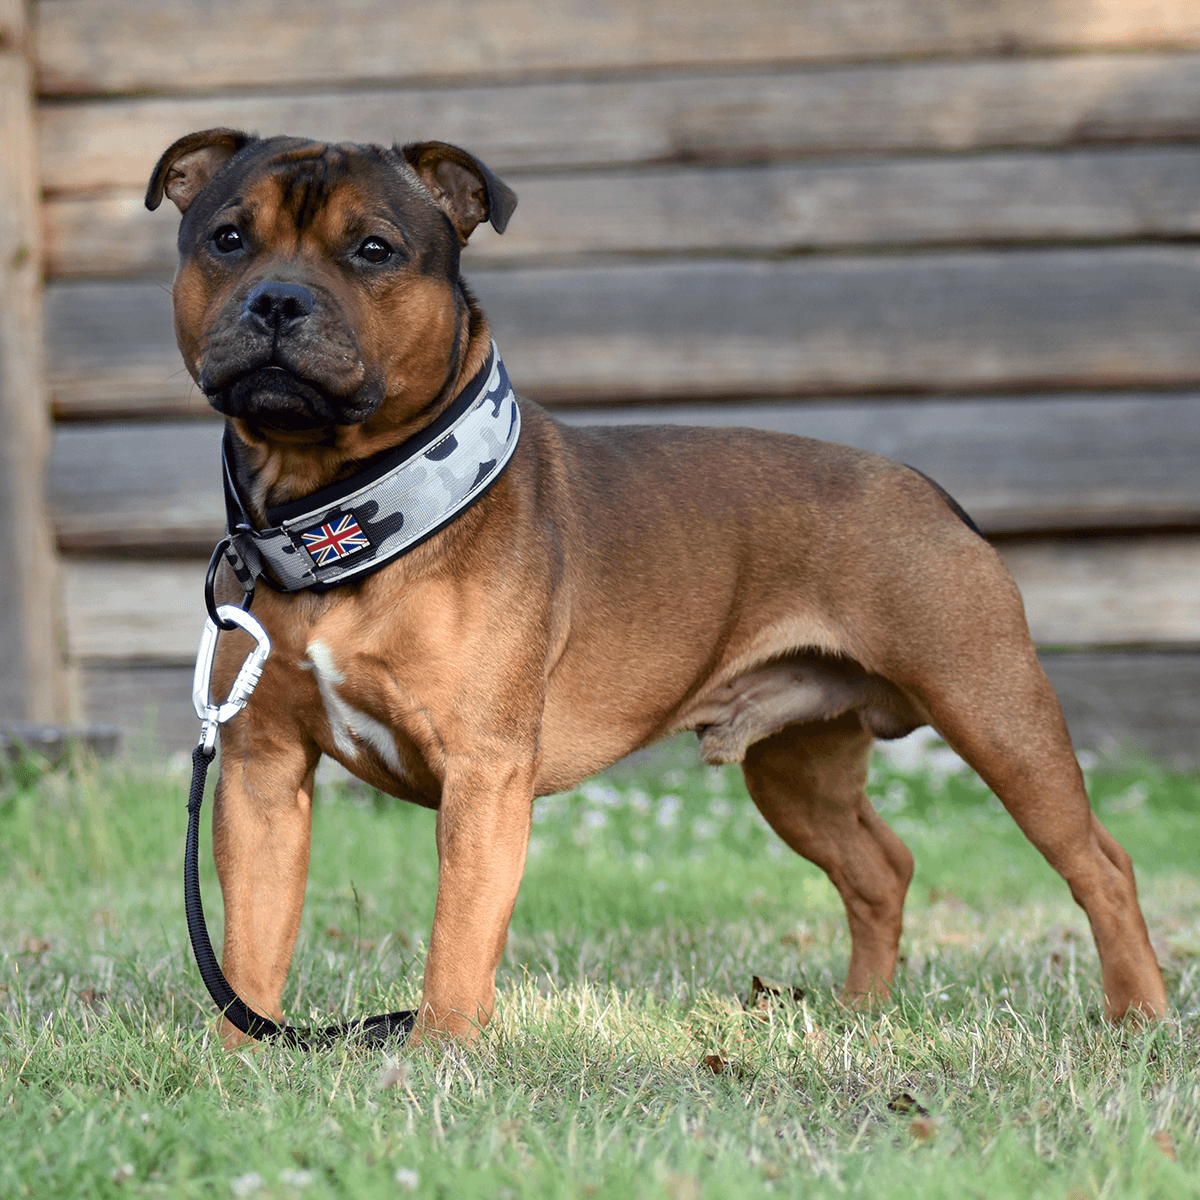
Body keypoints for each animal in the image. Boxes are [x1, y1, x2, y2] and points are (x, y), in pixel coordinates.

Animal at [145, 131, 1166, 1046]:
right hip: (797, 770)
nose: (278, 298)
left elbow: (456, 944)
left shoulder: (484, 775)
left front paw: (437, 1058)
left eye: (374, 250)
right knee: (881, 867)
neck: (342, 518)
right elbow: (250, 946)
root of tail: (925, 489)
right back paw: (860, 1014)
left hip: (996, 713)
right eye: (227, 239)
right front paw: (243, 1061)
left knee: (1102, 862)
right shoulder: (263, 775)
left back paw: (1139, 1015)